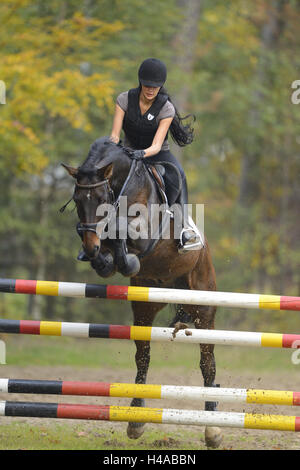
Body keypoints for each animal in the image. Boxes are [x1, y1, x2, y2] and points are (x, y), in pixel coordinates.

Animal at [62, 136, 223, 448]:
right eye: (77, 200)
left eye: (100, 199)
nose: (90, 247)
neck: (125, 183)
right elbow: (108, 248)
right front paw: (103, 259)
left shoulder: (145, 233)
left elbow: (123, 232)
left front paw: (124, 257)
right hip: (145, 306)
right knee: (143, 357)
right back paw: (136, 419)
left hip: (203, 306)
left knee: (207, 363)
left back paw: (212, 429)